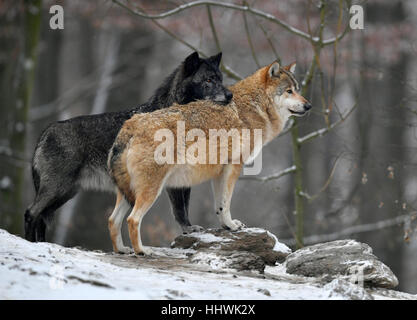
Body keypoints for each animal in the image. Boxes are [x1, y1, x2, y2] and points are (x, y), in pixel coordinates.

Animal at [24, 52, 232, 245]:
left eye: (220, 79)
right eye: (208, 80)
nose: (230, 95)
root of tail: (47, 131)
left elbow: (184, 207)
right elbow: (179, 209)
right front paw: (188, 229)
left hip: (66, 193)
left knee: (40, 217)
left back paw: (40, 244)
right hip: (58, 189)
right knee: (30, 213)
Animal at [109, 61, 310, 254]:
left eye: (298, 89)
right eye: (289, 91)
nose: (309, 105)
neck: (255, 106)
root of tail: (130, 126)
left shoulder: (219, 171)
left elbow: (219, 205)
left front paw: (226, 226)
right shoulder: (234, 166)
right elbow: (226, 202)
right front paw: (232, 226)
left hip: (128, 192)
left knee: (112, 220)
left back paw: (122, 250)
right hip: (151, 190)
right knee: (132, 220)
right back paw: (142, 251)